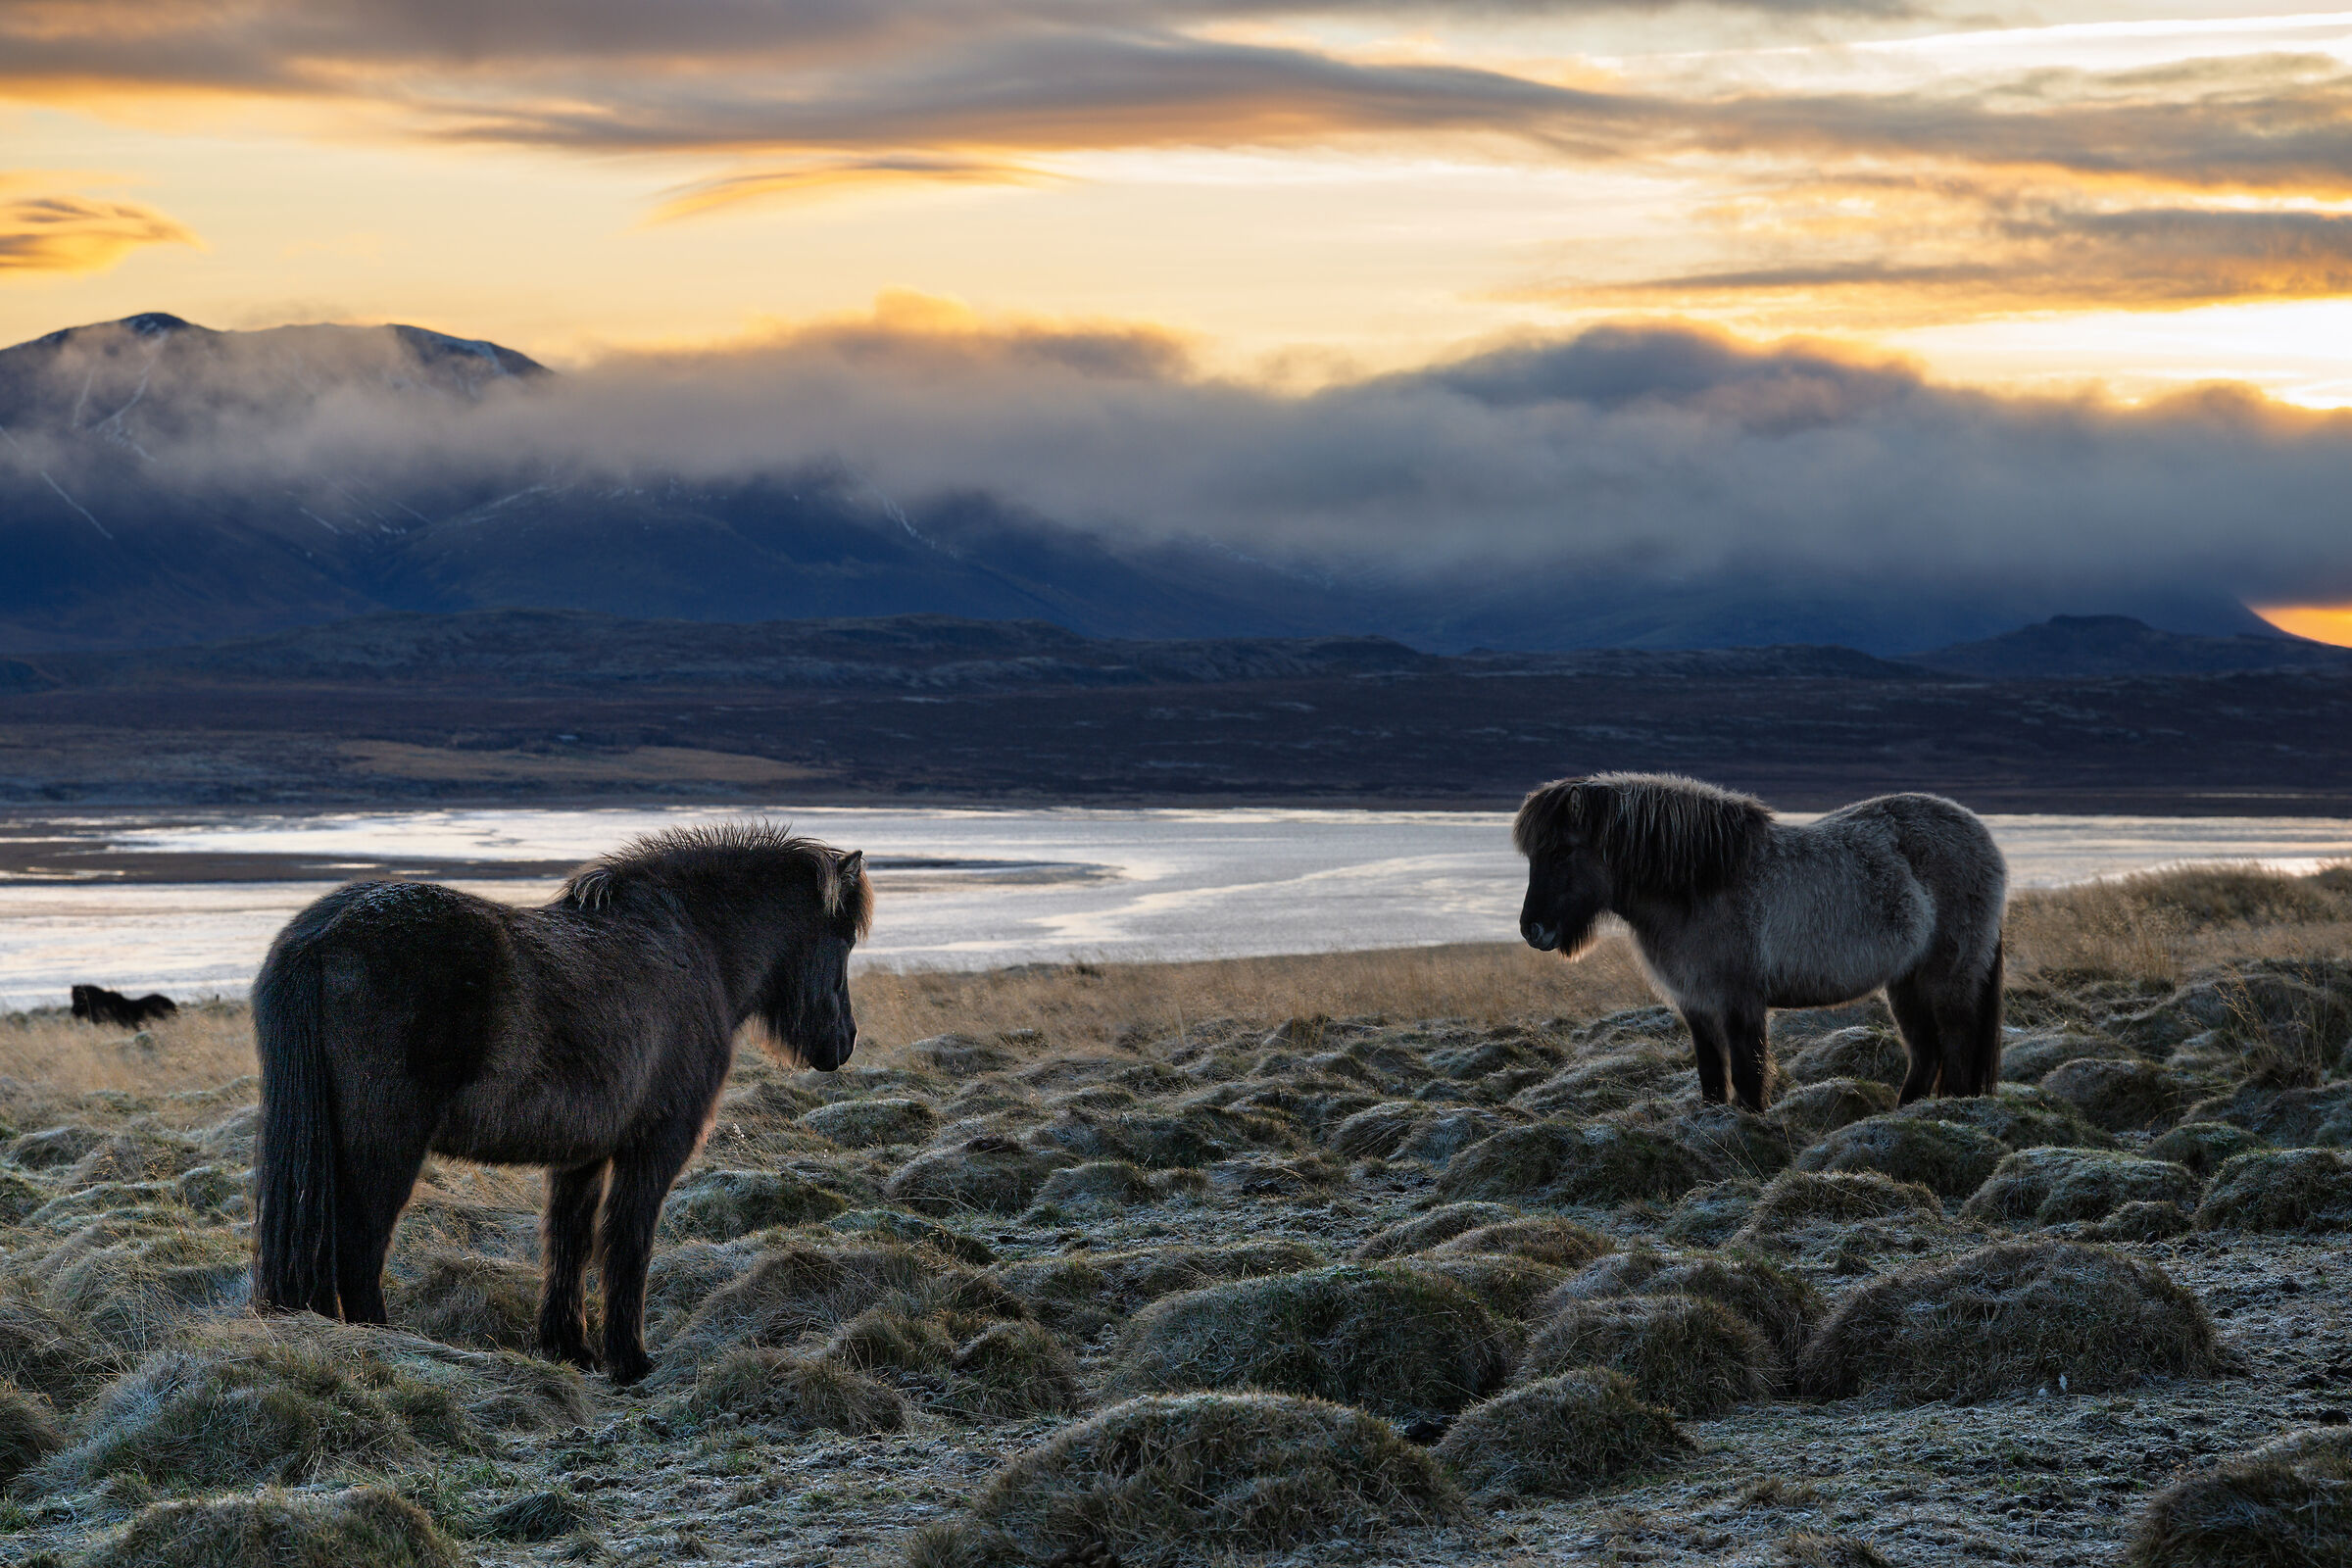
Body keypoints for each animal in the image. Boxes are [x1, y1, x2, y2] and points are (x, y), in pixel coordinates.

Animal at [251, 823, 871, 1384]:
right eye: (842, 943)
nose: (843, 1042)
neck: (697, 948)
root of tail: (318, 937)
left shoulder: (583, 1153)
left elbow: (568, 1240)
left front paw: (568, 1348)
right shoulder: (656, 1144)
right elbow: (627, 1242)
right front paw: (629, 1361)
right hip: (383, 1149)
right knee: (360, 1249)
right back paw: (385, 1345)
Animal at [1513, 773, 2005, 1111]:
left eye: (1560, 851)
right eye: (1533, 855)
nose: (1532, 930)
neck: (1699, 886)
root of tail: (1984, 837)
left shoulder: (1740, 1000)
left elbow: (1748, 1074)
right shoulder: (1696, 1003)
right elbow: (1712, 1073)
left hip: (1949, 978)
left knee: (1956, 1045)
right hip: (1905, 983)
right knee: (1925, 1053)